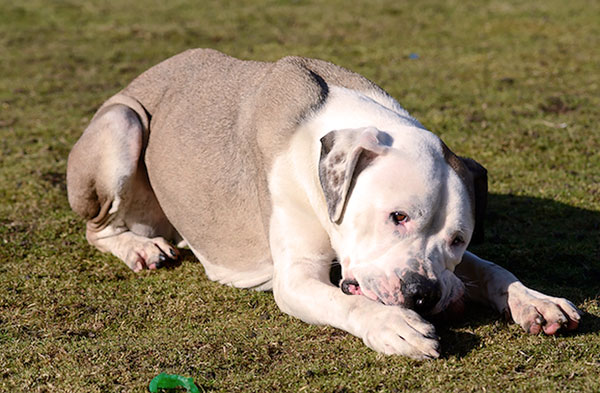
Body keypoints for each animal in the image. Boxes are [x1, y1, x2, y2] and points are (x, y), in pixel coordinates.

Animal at [67, 49, 580, 358]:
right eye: (396, 216)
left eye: (457, 239)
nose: (422, 294)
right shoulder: (295, 279)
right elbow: (346, 303)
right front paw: (394, 325)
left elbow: (490, 268)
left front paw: (534, 301)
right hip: (123, 122)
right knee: (98, 228)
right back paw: (139, 248)